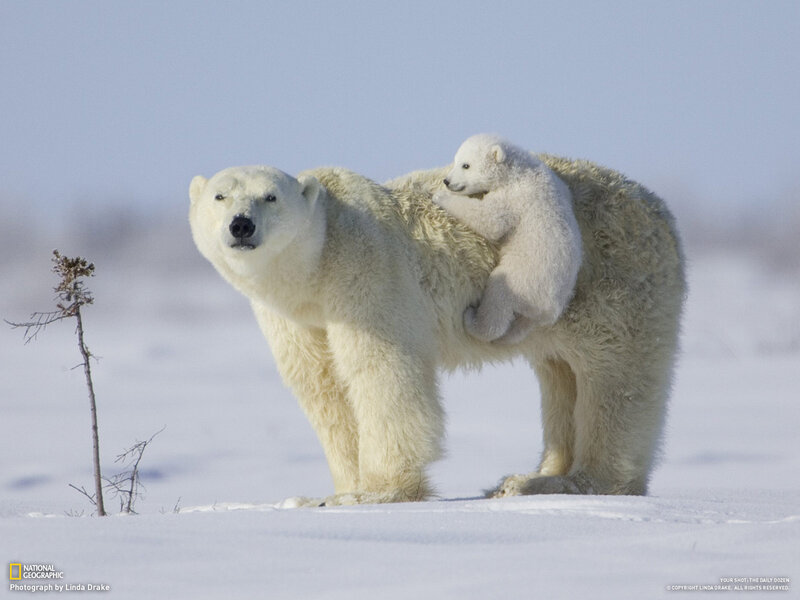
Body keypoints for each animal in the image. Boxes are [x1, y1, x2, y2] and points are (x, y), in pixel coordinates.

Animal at [432, 134, 582, 344]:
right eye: (455, 160)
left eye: (466, 165)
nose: (446, 181)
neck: (518, 171)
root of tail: (550, 309)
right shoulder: (557, 182)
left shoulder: (514, 197)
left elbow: (491, 220)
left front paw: (440, 197)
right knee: (520, 326)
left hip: (522, 280)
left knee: (498, 298)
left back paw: (473, 320)